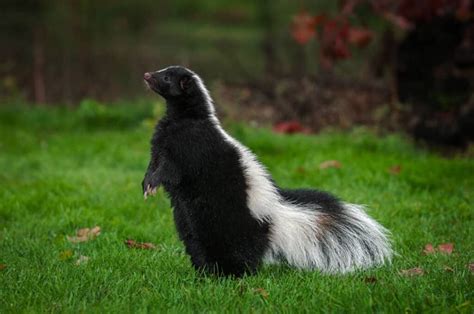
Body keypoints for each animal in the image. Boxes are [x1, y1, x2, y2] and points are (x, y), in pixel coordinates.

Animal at [142, 65, 392, 276]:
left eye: (166, 77)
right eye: (162, 71)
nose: (147, 75)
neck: (187, 117)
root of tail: (276, 217)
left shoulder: (191, 147)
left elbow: (170, 169)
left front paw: (153, 184)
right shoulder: (162, 143)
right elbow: (154, 163)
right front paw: (146, 184)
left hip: (229, 222)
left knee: (234, 251)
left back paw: (230, 275)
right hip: (191, 221)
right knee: (196, 242)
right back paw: (204, 273)